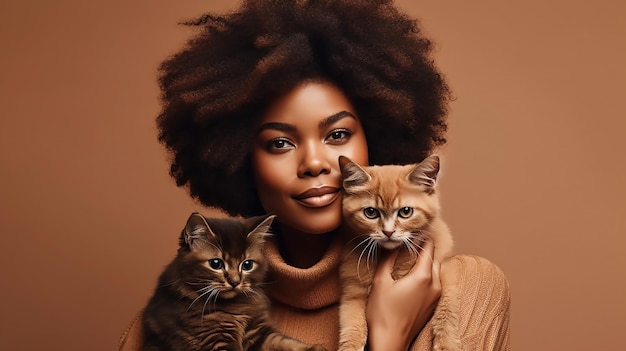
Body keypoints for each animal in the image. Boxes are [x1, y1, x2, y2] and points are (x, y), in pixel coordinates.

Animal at [142, 212, 326, 351]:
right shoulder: (214, 339)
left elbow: (284, 342)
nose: (235, 281)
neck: (236, 307)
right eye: (216, 264)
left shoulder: (259, 332)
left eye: (247, 265)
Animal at [336, 156, 458, 351]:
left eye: (405, 211)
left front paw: (447, 344)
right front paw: (351, 347)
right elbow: (353, 325)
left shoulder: (447, 268)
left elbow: (448, 308)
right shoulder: (352, 292)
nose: (388, 232)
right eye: (371, 212)